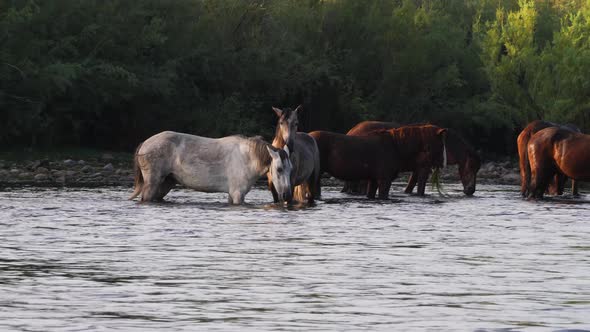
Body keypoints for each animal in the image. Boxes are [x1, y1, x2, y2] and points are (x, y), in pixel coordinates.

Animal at [131, 131, 294, 204]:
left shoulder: (232, 194)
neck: (247, 157)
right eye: (279, 169)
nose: (287, 195)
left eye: (290, 169)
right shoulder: (238, 194)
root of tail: (145, 143)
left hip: (166, 183)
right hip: (152, 183)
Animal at [346, 121, 480, 195]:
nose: (471, 190)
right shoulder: (424, 167)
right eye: (471, 165)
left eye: (478, 168)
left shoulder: (418, 168)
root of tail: (351, 131)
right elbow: (420, 186)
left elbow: (411, 185)